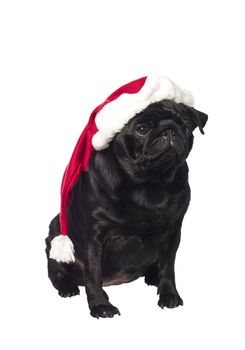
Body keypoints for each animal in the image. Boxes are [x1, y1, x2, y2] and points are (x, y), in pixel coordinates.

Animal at [45, 75, 208, 318]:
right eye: (142, 129)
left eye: (186, 126)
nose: (169, 131)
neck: (148, 182)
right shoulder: (96, 236)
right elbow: (93, 273)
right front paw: (100, 305)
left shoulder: (172, 232)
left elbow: (168, 267)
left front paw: (168, 294)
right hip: (55, 231)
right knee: (57, 271)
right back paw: (68, 287)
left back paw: (153, 277)